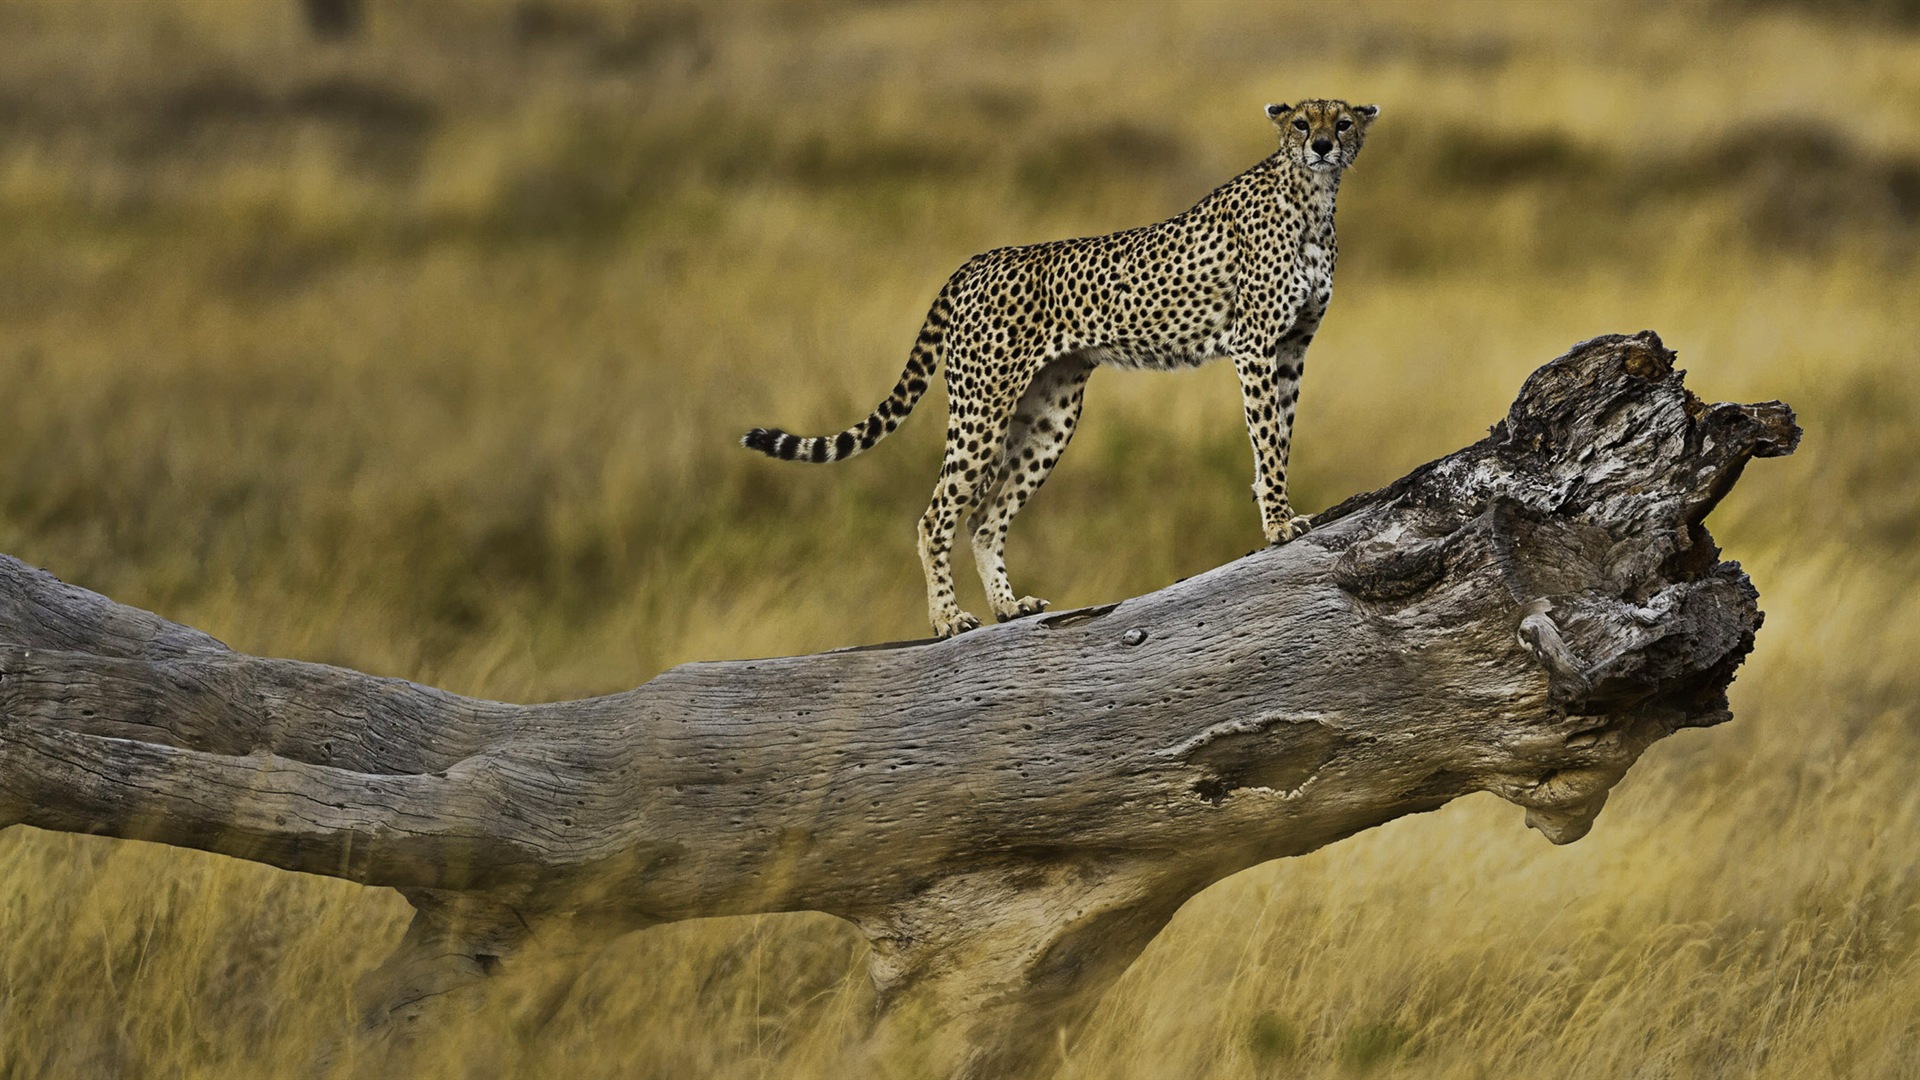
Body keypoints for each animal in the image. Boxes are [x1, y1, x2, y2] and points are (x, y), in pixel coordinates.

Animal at [737, 98, 1382, 638]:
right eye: (1301, 122)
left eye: (1343, 121)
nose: (1323, 144)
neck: (1312, 198)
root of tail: (980, 258)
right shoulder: (1256, 347)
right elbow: (1267, 439)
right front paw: (1277, 523)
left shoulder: (1292, 350)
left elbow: (1282, 435)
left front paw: (1280, 509)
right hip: (982, 410)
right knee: (937, 515)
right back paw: (947, 619)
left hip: (1050, 416)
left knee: (985, 517)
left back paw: (1008, 606)